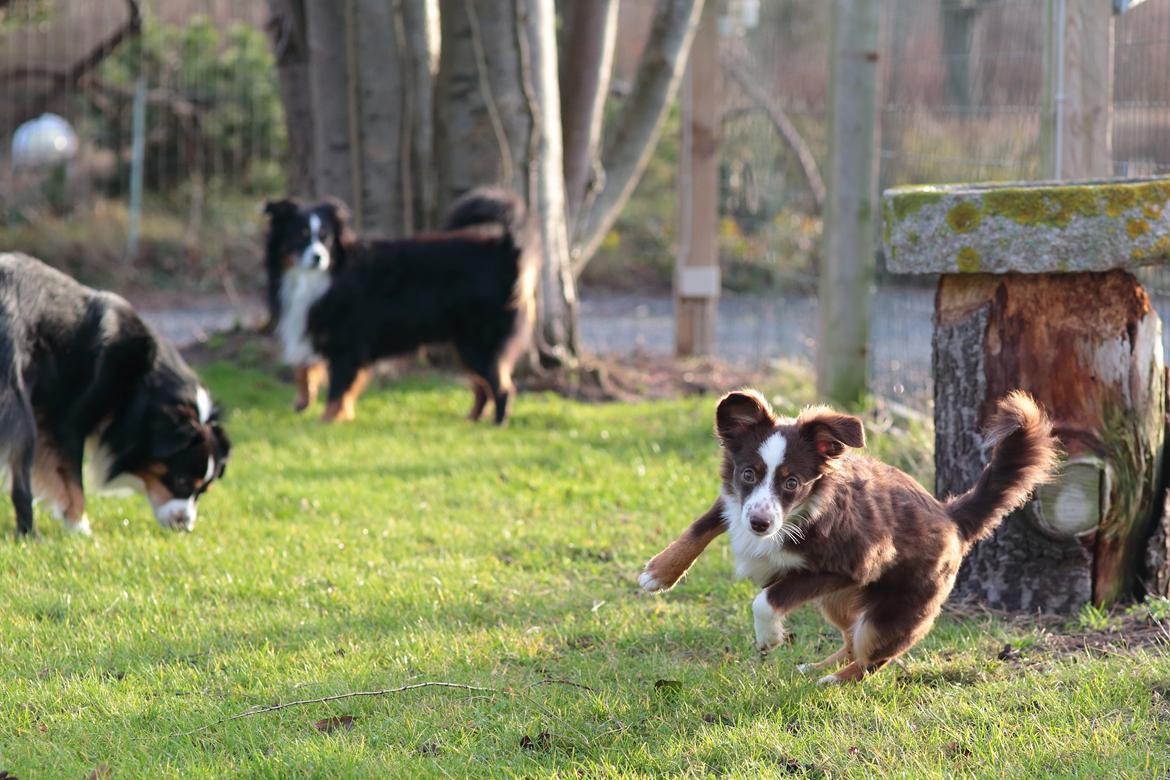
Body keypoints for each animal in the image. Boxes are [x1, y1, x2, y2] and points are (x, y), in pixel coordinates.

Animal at [0, 253, 230, 533]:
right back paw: (30, 534)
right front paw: (79, 530)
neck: (140, 386)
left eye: (203, 490)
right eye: (182, 481)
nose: (185, 528)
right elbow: (71, 478)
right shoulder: (67, 415)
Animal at [264, 187, 538, 423]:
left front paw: (327, 420)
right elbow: (305, 370)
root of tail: (505, 249)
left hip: (479, 343)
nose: (318, 257)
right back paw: (472, 420)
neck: (328, 274)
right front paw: (304, 402)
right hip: (463, 344)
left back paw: (498, 423)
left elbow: (337, 389)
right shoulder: (318, 329)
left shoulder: (347, 343)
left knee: (501, 387)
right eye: (300, 236)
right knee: (482, 386)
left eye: (326, 238)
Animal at [641, 390, 1062, 682]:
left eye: (792, 482)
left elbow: (767, 598)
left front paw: (768, 637)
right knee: (848, 639)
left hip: (888, 613)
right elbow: (704, 523)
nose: (760, 524)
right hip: (838, 601)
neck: (802, 511)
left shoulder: (850, 566)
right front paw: (659, 572)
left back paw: (834, 680)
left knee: (875, 656)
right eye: (748, 474)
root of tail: (952, 517)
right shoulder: (736, 504)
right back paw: (815, 668)